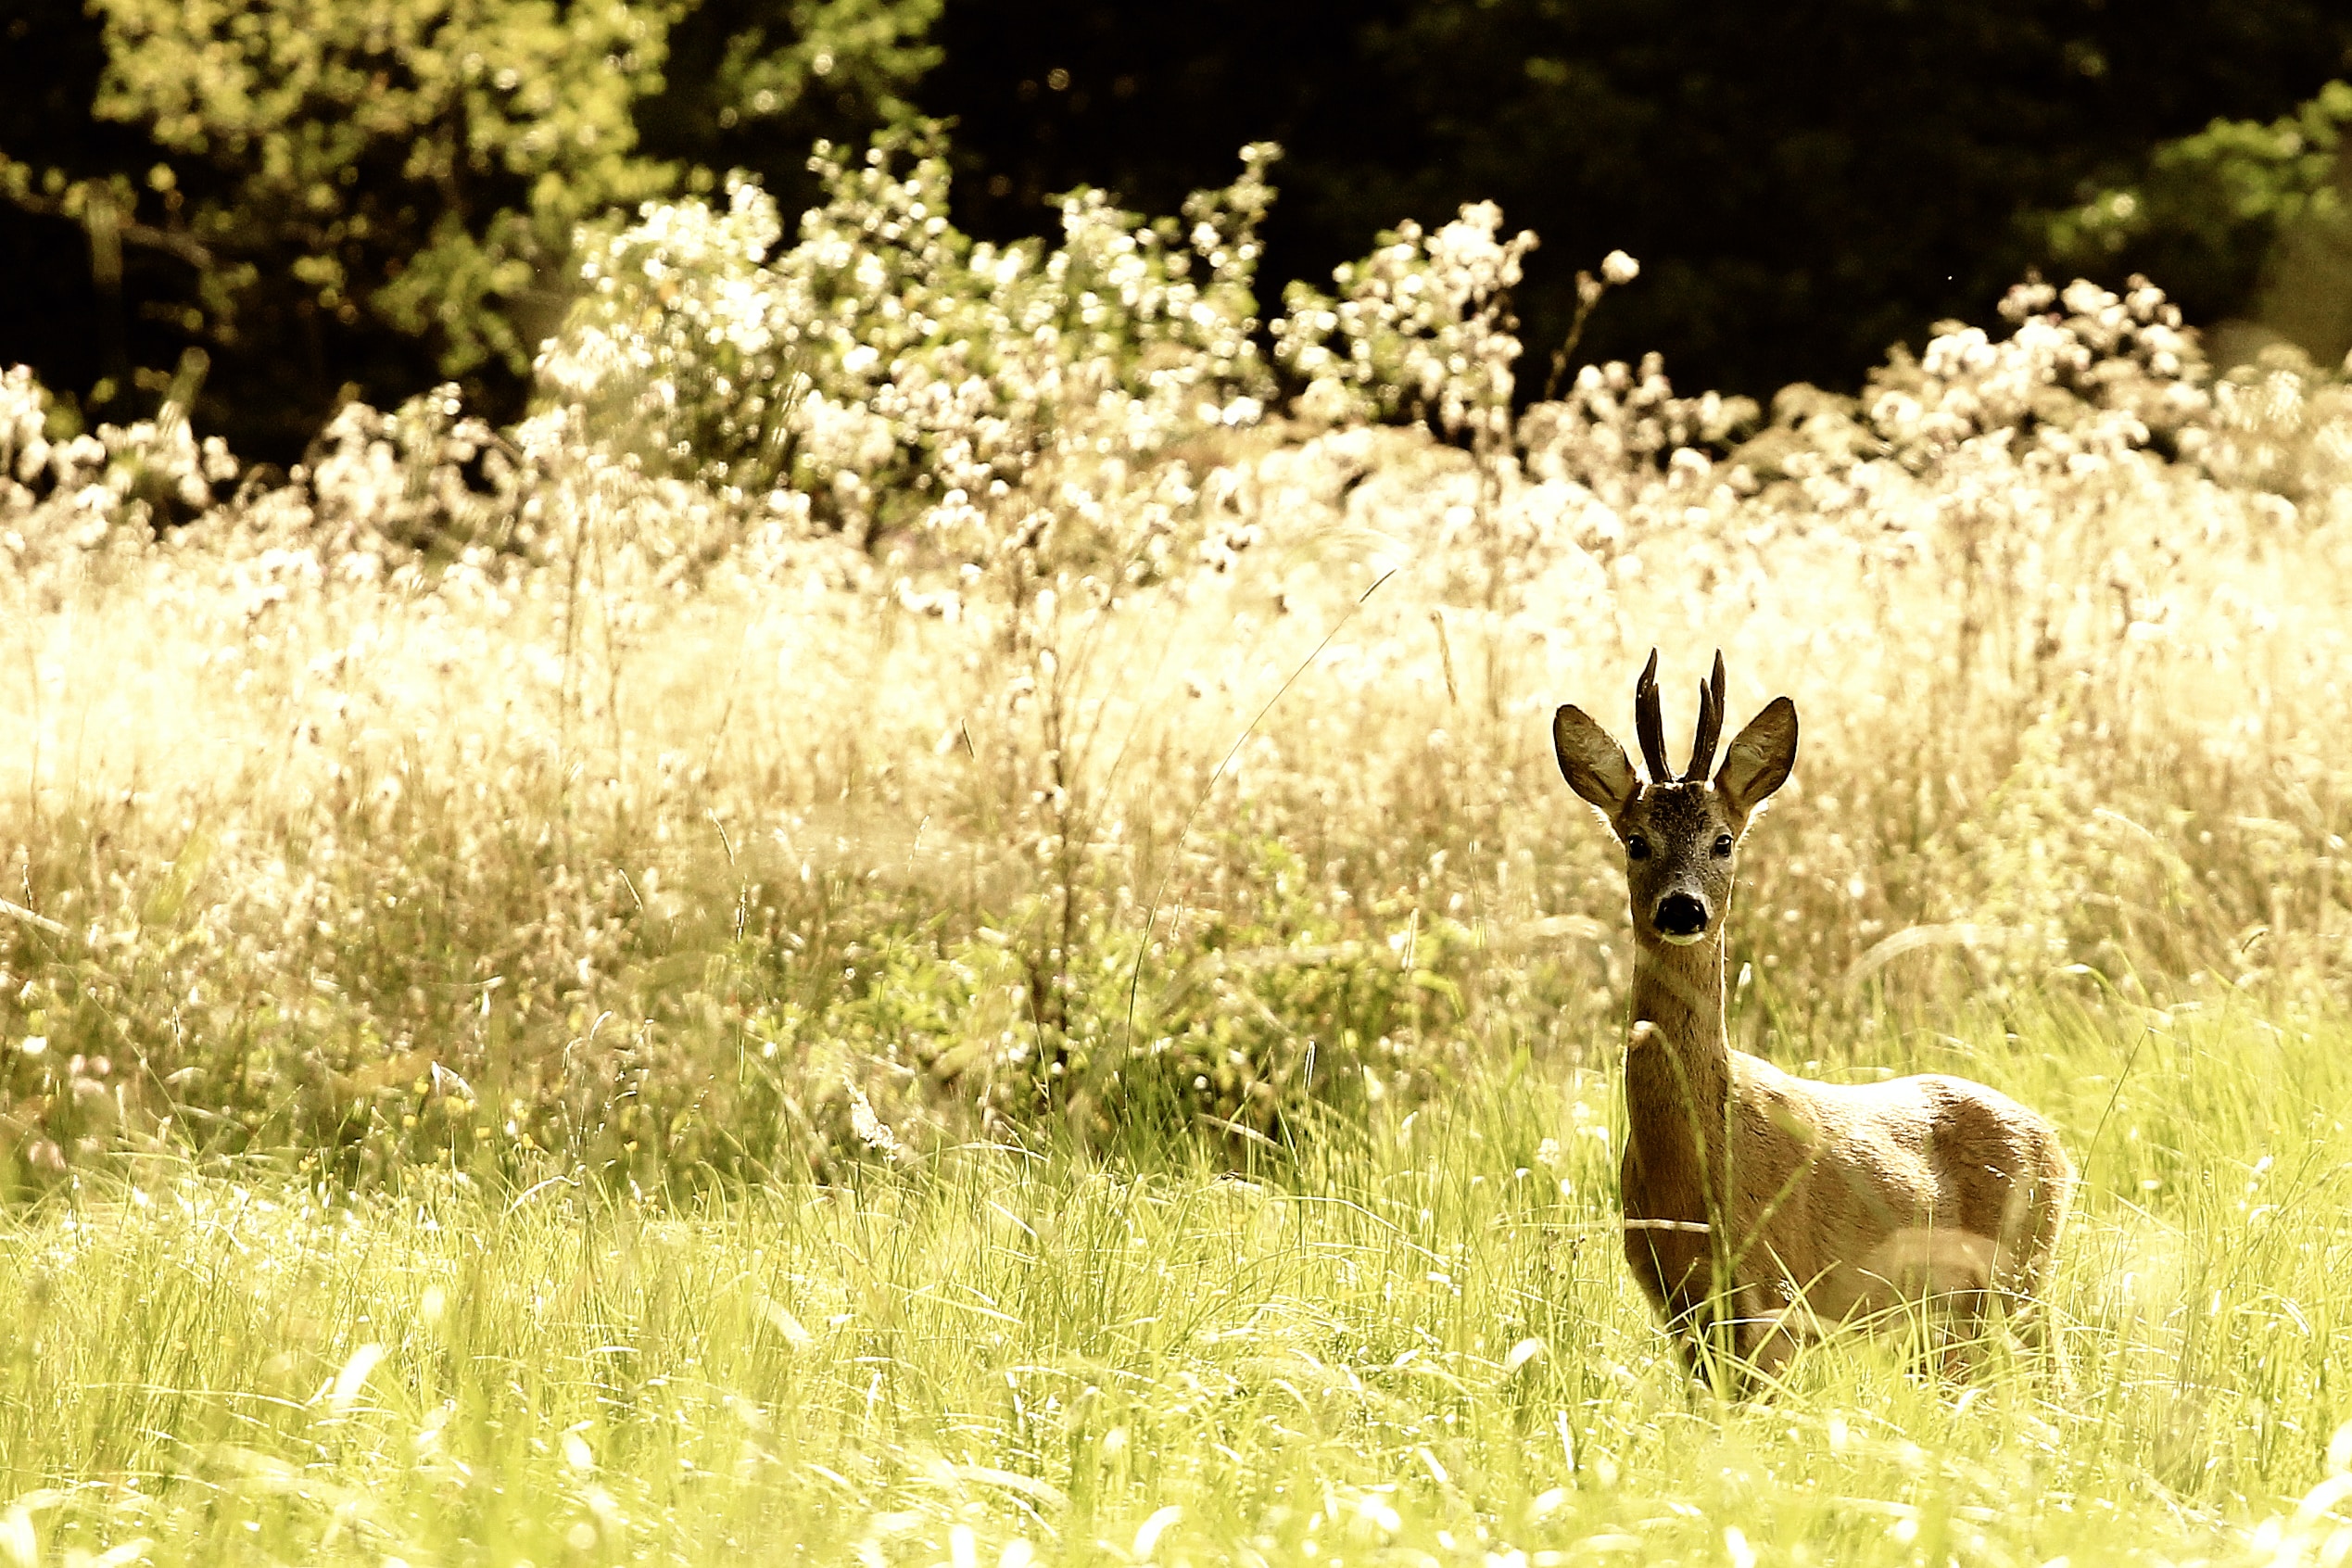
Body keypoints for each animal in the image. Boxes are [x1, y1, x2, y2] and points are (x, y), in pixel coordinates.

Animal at [1562, 649, 2079, 1382]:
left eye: (1723, 841)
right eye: (1635, 842)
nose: (1682, 908)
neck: (1692, 1167)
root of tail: (2057, 1146)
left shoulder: (1777, 1294)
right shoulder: (1680, 1310)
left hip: (2023, 1274)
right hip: (1950, 1319)